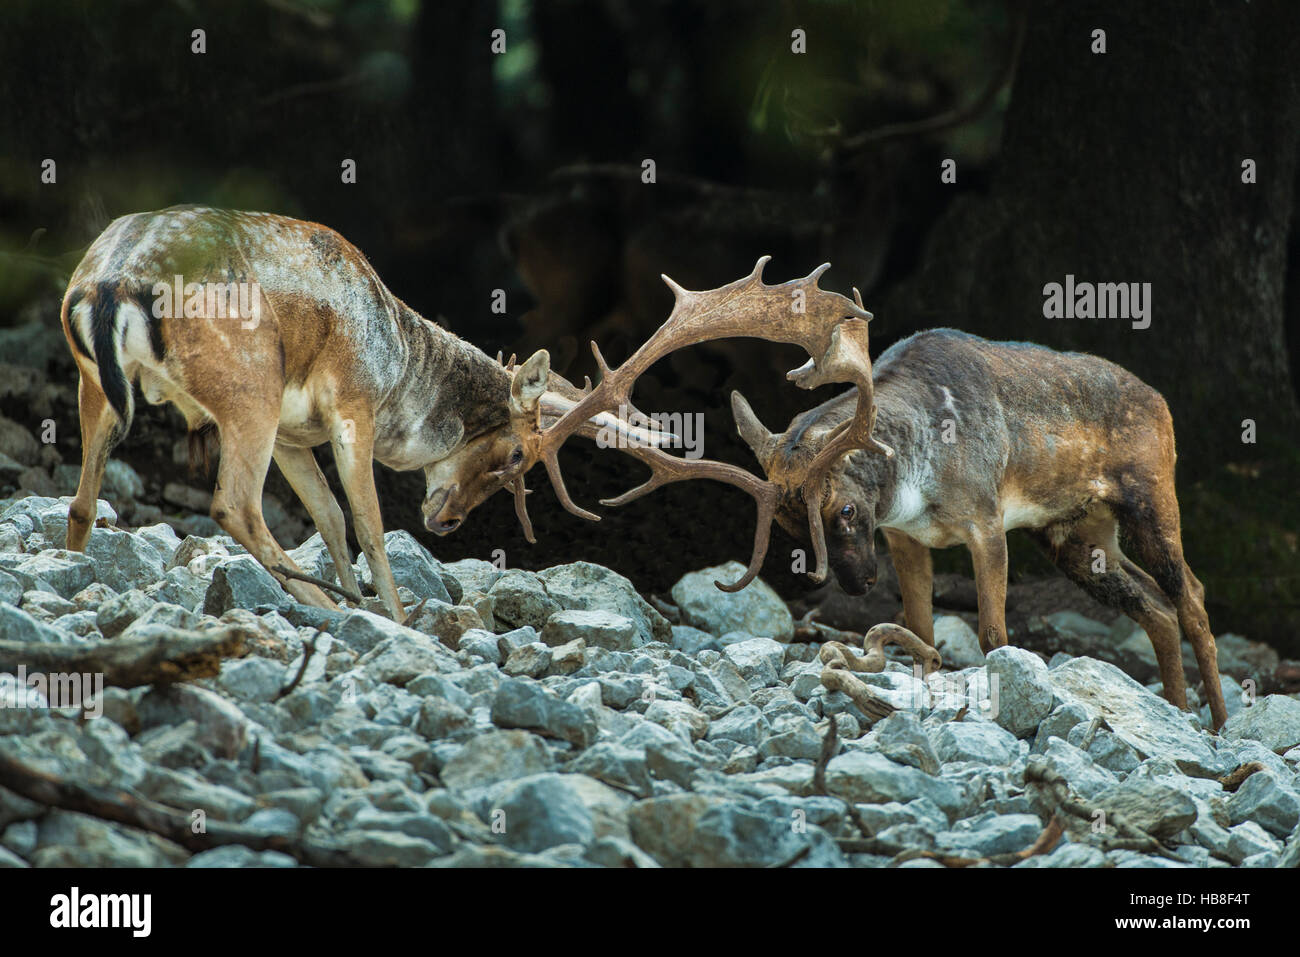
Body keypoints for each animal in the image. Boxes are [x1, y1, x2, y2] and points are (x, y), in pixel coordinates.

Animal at [59, 205, 660, 621]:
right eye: (517, 454)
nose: (448, 521)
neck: (401, 365)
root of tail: (110, 283)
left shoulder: (293, 435)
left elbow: (329, 515)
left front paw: (360, 600)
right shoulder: (352, 404)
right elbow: (371, 525)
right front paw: (395, 618)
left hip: (98, 382)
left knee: (83, 501)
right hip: (251, 386)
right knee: (235, 505)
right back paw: (322, 604)